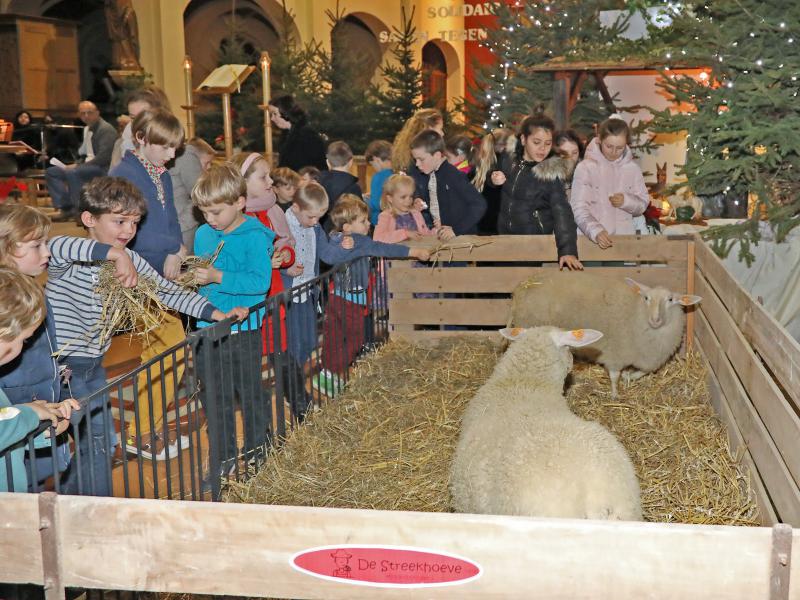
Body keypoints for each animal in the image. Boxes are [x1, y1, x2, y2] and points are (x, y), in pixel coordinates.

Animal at [510, 272, 704, 398]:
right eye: (646, 298)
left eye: (670, 300)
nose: (655, 319)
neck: (636, 314)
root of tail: (522, 286)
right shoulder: (615, 354)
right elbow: (614, 376)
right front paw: (615, 394)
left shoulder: (648, 357)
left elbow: (643, 371)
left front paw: (629, 377)